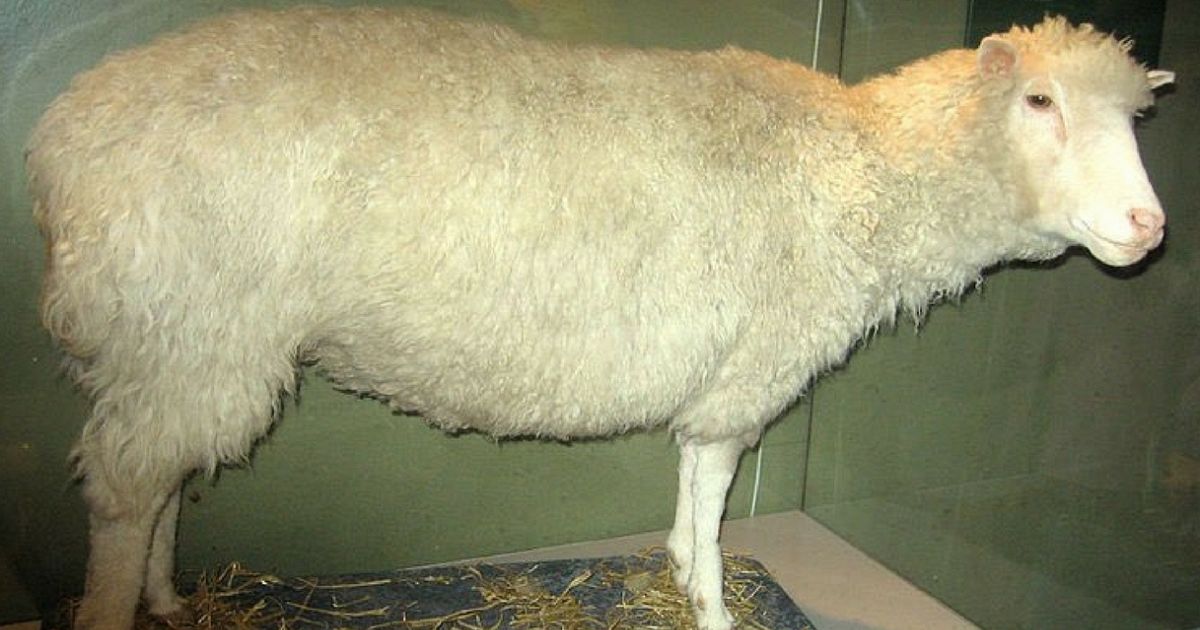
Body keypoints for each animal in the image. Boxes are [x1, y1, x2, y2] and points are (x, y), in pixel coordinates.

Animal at [25, 7, 1173, 630]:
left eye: (1136, 119)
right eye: (1039, 105)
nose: (1150, 225)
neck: (858, 172)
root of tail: (64, 132)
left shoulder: (722, 373)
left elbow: (691, 495)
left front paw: (683, 578)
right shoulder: (750, 367)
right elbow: (712, 499)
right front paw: (712, 602)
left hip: (182, 340)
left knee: (163, 481)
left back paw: (169, 601)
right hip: (185, 314)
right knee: (125, 494)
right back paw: (119, 606)